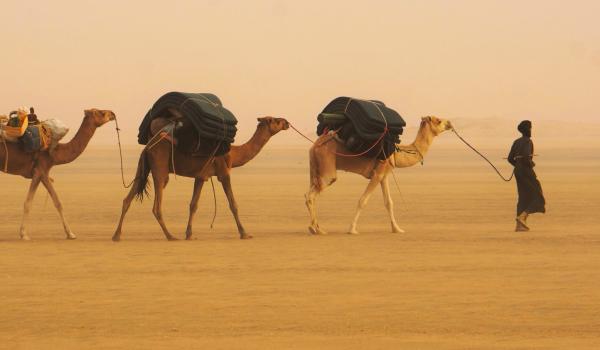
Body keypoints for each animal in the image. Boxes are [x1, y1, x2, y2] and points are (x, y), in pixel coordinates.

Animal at [0, 109, 116, 241]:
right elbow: (40, 203)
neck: (55, 152)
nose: (112, 114)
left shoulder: (40, 173)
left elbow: (46, 202)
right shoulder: (41, 170)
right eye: (100, 112)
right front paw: (24, 234)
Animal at [113, 115, 292, 241]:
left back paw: (117, 236)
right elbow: (233, 204)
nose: (287, 122)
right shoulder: (224, 172)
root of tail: (148, 147)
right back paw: (170, 236)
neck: (234, 154)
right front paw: (245, 233)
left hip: (143, 167)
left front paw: (189, 234)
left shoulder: (201, 176)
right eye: (275, 120)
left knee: (127, 199)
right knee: (156, 205)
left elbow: (193, 205)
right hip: (160, 168)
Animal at [308, 115, 452, 235]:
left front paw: (397, 229)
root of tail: (315, 145)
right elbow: (363, 200)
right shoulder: (377, 174)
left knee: (310, 194)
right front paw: (352, 229)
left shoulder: (384, 174)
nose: (449, 123)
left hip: (315, 169)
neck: (396, 153)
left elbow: (389, 202)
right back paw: (316, 229)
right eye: (438, 120)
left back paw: (316, 228)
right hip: (327, 169)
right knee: (312, 194)